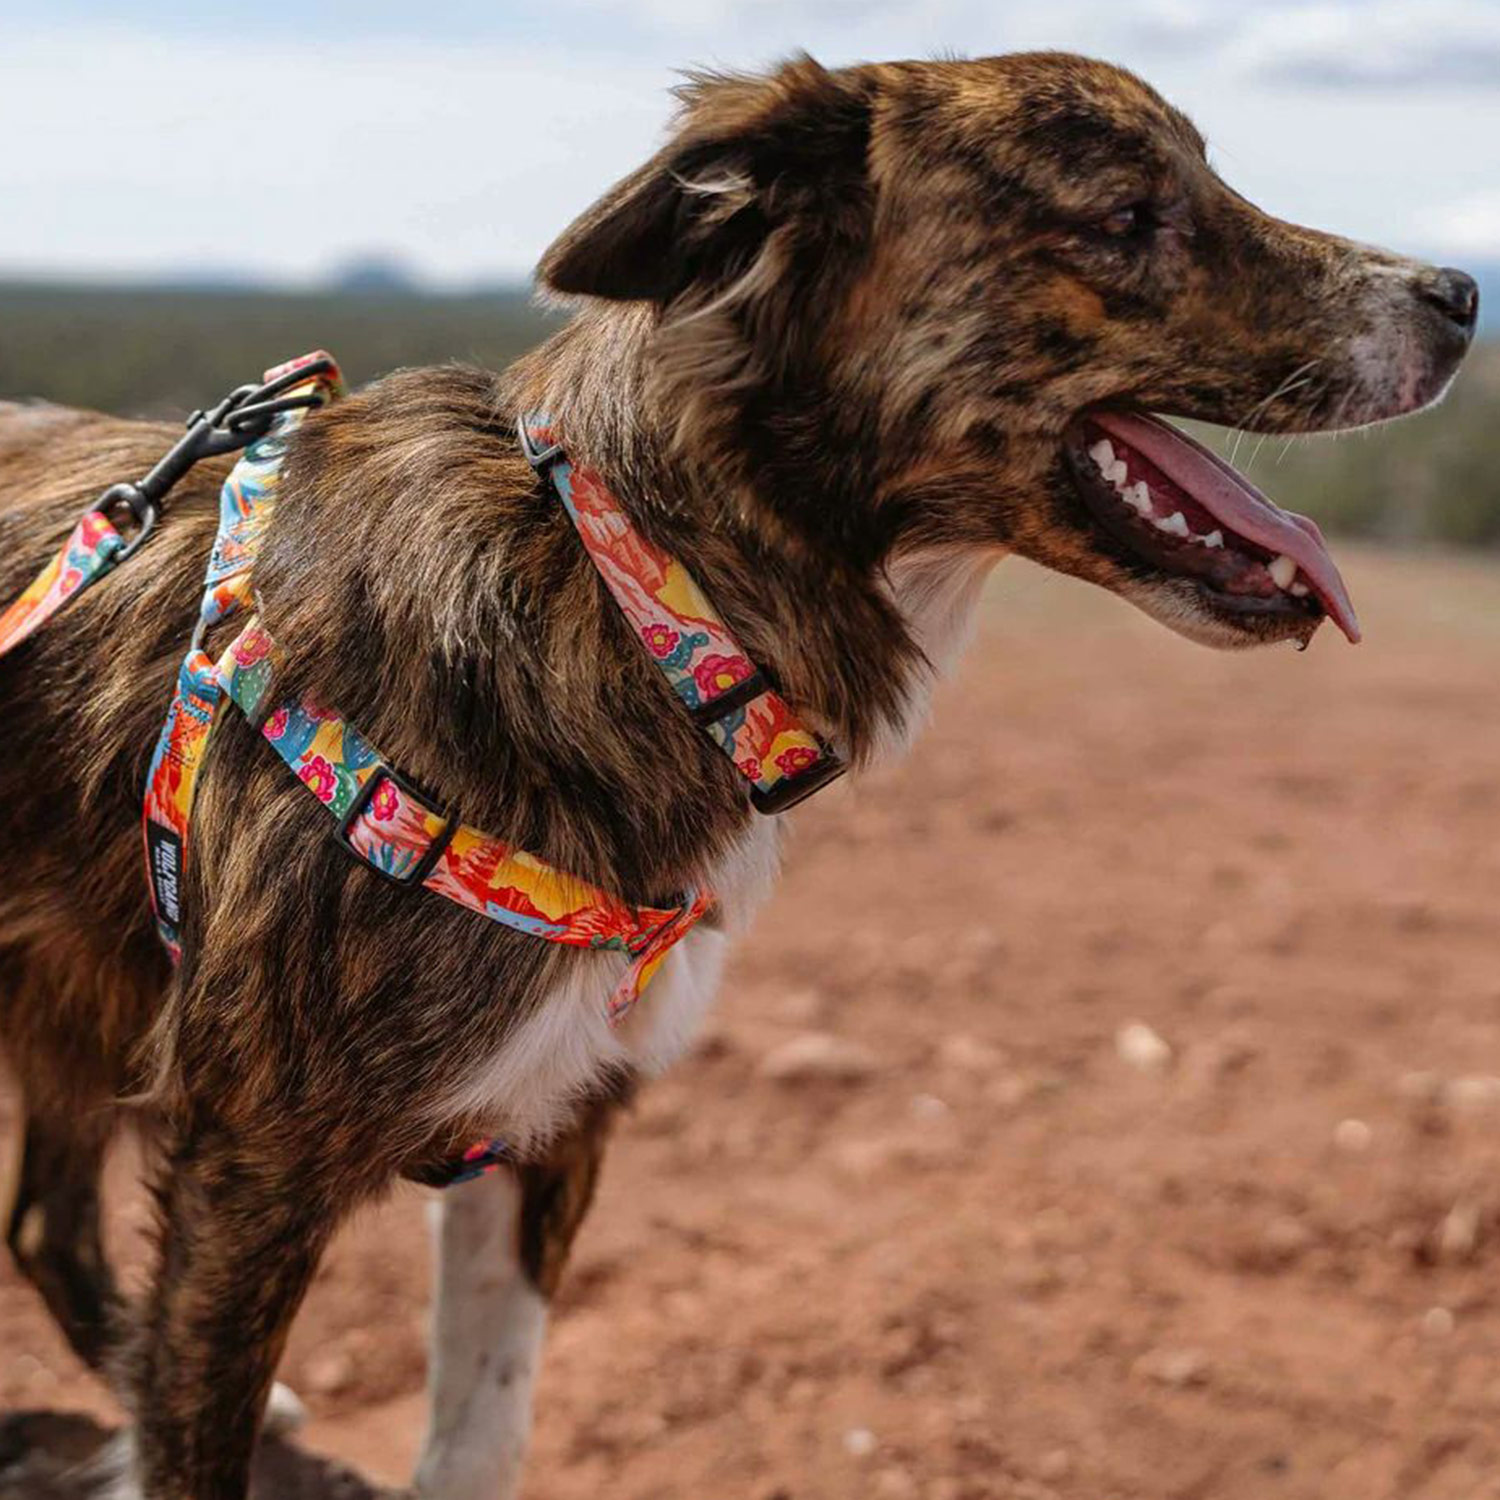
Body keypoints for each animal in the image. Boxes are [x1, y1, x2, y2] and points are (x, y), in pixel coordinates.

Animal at [0, 46, 1476, 1500]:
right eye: (1128, 216)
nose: (1462, 297)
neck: (632, 595)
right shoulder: (251, 1164)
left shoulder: (556, 1118)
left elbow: (485, 1432)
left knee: (42, 1226)